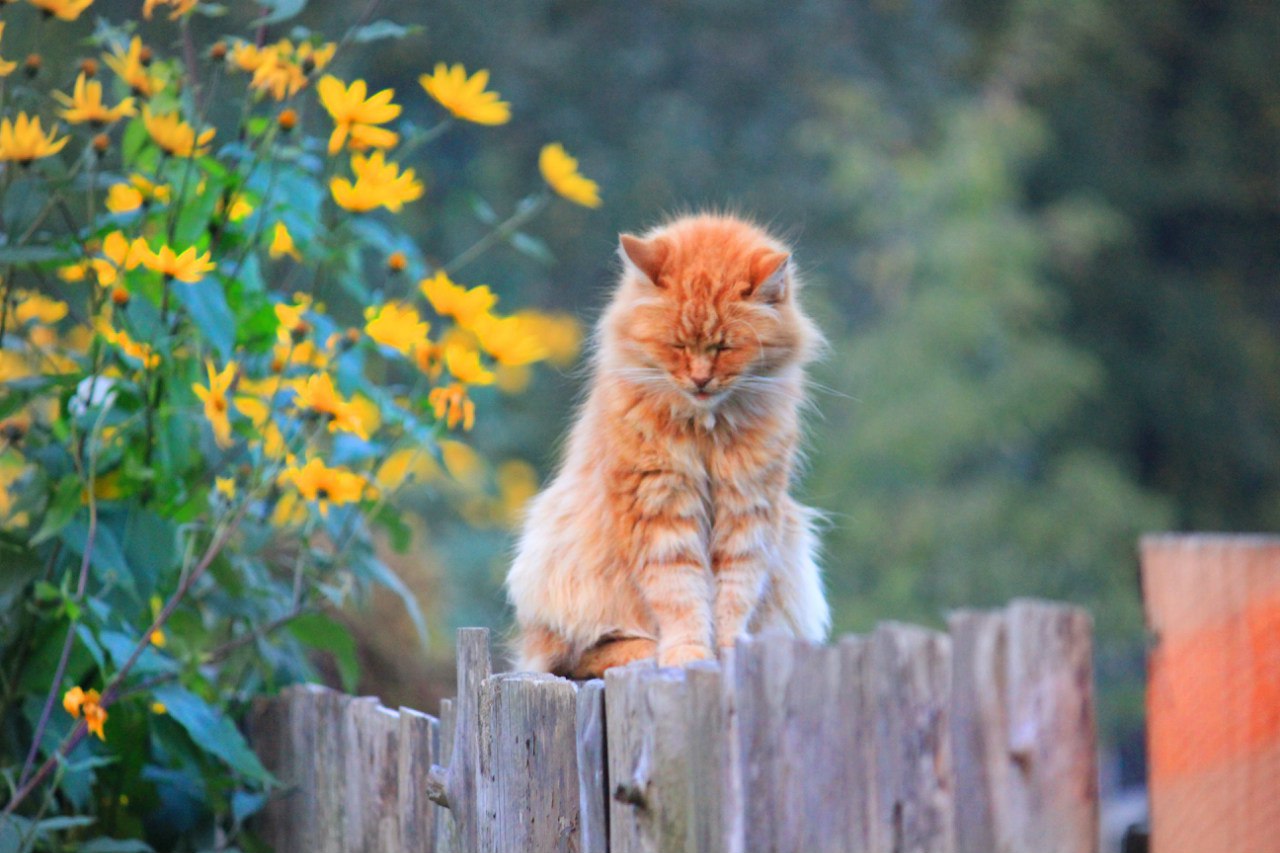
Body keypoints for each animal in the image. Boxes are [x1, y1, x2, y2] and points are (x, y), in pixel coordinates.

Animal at [504, 208, 834, 676]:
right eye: (676, 345)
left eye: (725, 347)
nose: (700, 379)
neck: (706, 428)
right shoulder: (659, 507)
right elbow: (680, 594)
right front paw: (688, 656)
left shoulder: (747, 510)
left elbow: (733, 596)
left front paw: (728, 656)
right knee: (576, 653)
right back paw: (647, 653)